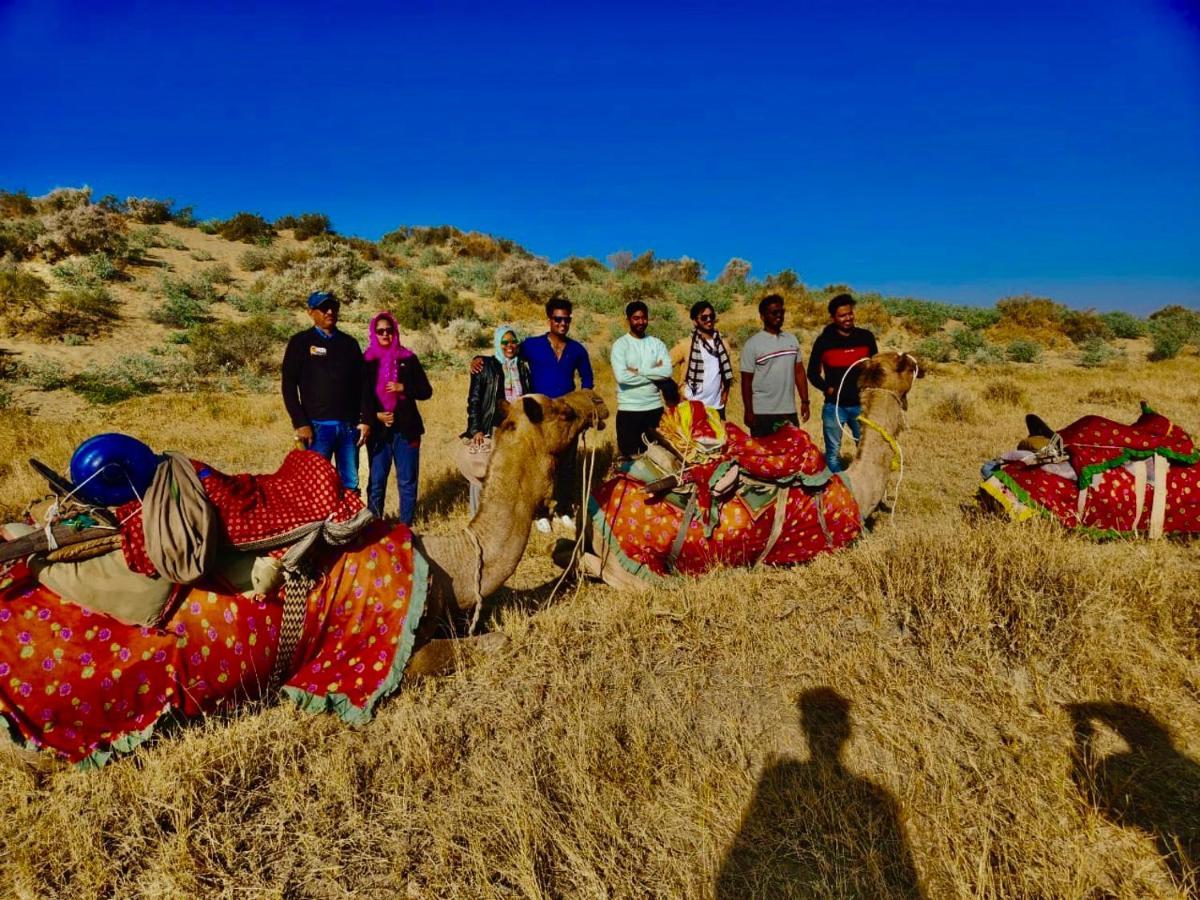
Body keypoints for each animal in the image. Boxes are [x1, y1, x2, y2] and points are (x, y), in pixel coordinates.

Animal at [571, 352, 926, 592]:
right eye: (902, 363)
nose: (918, 362)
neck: (857, 489)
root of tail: (591, 511)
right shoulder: (827, 548)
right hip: (633, 556)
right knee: (613, 573)